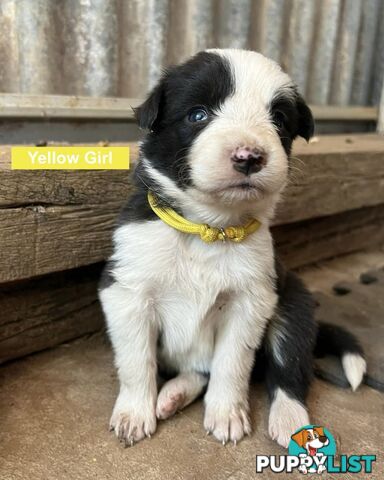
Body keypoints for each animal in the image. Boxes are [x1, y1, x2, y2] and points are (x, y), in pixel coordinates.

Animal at [99, 48, 366, 446]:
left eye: (279, 120)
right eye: (198, 115)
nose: (248, 156)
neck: (208, 228)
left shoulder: (251, 301)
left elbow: (231, 363)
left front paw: (226, 414)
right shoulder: (127, 292)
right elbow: (136, 362)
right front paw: (134, 414)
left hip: (293, 306)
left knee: (288, 370)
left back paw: (292, 422)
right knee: (198, 370)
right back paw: (172, 395)